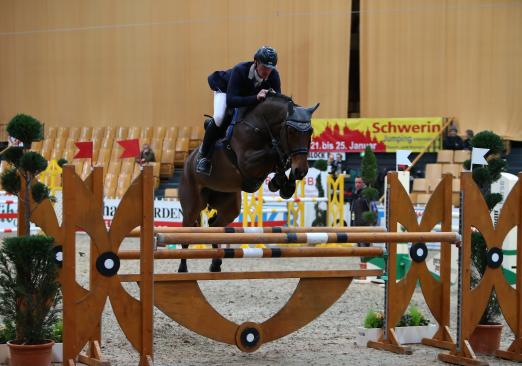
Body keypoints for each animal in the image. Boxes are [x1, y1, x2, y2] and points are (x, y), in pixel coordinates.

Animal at [178, 93, 316, 274]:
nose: (302, 171)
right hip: (193, 204)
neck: (261, 126)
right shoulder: (248, 162)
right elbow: (273, 153)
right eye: (292, 131)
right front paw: (281, 178)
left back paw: (216, 264)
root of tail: (187, 162)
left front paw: (284, 184)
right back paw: (182, 269)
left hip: (229, 204)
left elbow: (282, 162)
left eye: (310, 131)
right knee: (186, 231)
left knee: (216, 225)